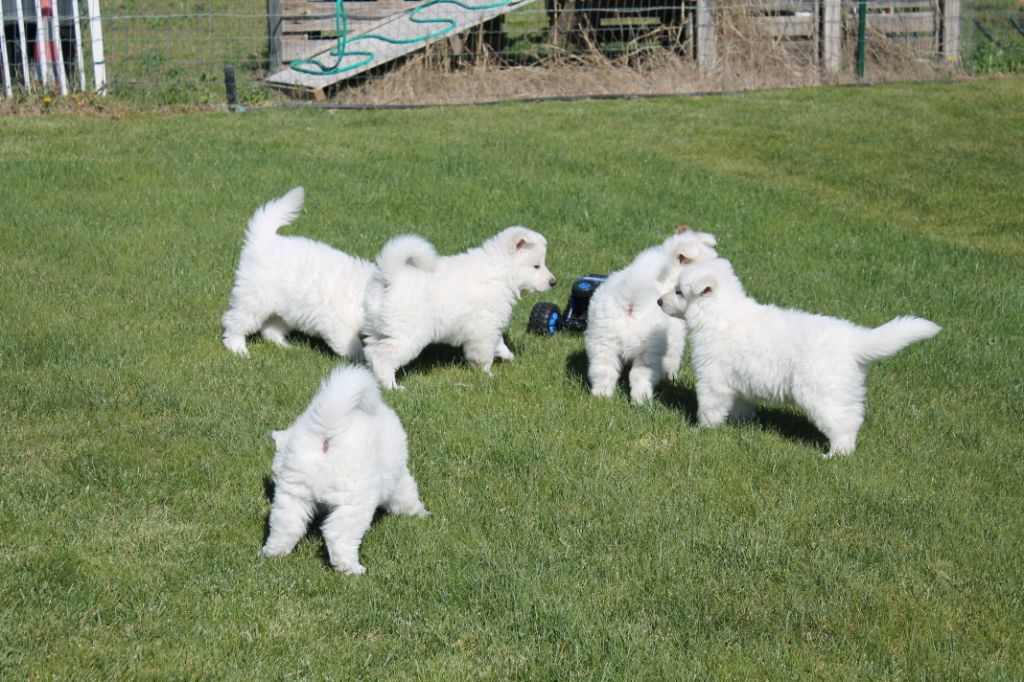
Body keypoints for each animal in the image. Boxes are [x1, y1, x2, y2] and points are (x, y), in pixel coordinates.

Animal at [222, 184, 374, 356]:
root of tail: (264, 240)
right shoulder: (341, 323)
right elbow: (353, 345)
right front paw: (361, 357)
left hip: (286, 309)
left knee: (270, 329)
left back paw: (283, 345)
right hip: (255, 299)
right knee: (234, 321)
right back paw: (237, 347)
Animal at [262, 364, 430, 569]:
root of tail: (327, 431)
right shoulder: (398, 479)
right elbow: (408, 496)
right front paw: (422, 513)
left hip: (293, 494)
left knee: (285, 525)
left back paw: (273, 553)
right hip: (355, 503)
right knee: (338, 536)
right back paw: (351, 568)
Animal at [364, 225, 557, 387]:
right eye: (536, 266)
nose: (553, 282)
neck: (500, 272)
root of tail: (392, 275)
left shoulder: (491, 324)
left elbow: (498, 342)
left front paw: (507, 355)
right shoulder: (484, 328)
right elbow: (484, 353)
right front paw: (487, 374)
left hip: (377, 330)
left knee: (372, 352)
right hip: (407, 334)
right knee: (384, 357)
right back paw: (392, 386)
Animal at [585, 225, 720, 401]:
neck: (669, 278)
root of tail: (631, 300)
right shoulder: (675, 337)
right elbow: (672, 361)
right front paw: (671, 377)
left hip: (602, 341)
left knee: (603, 370)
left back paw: (602, 395)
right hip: (648, 350)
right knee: (639, 376)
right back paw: (642, 400)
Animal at [659, 256, 937, 456]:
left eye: (679, 291)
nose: (659, 301)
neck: (719, 314)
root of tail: (853, 341)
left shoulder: (712, 377)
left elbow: (709, 406)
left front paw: (701, 430)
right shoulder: (740, 381)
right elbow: (741, 405)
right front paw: (740, 424)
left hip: (821, 392)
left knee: (845, 421)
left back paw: (836, 453)